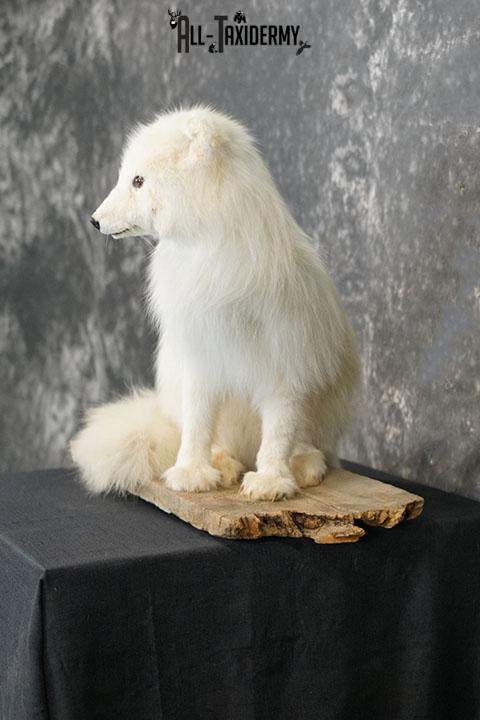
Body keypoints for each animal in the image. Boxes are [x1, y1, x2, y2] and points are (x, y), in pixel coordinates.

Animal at [70, 106, 362, 502]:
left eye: (138, 181)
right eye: (127, 177)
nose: (94, 220)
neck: (211, 255)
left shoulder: (286, 369)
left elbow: (278, 434)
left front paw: (271, 482)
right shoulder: (201, 359)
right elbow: (198, 426)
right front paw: (192, 473)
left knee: (301, 441)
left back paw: (303, 465)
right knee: (216, 437)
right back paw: (223, 464)